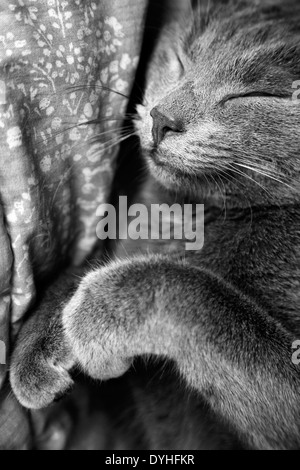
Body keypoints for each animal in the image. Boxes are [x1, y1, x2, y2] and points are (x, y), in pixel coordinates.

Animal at [8, 0, 300, 450]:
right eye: (179, 59)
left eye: (257, 95)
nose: (163, 117)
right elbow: (91, 266)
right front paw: (37, 342)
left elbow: (195, 292)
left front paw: (100, 309)